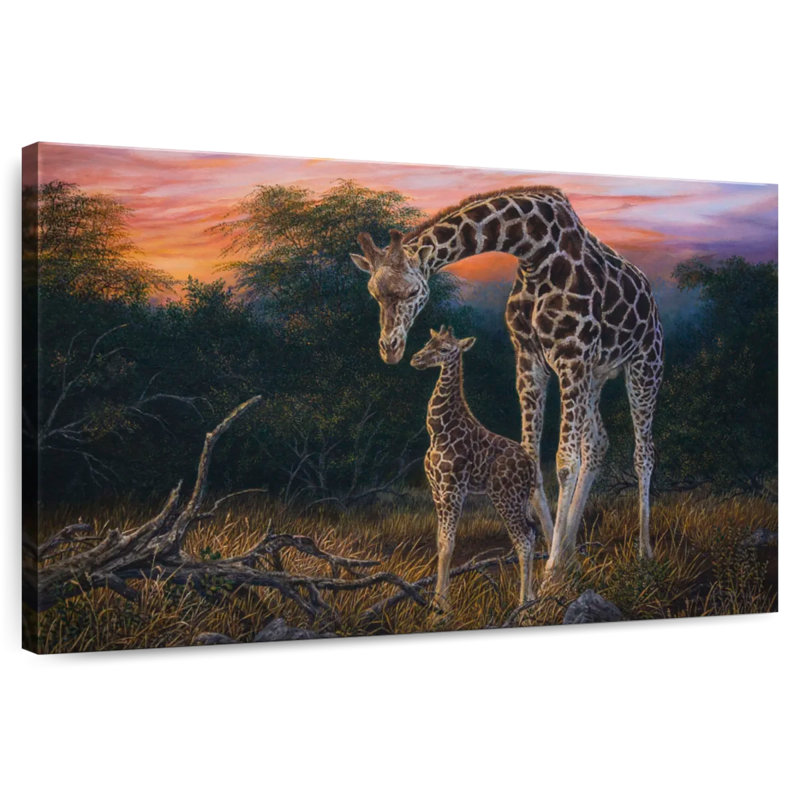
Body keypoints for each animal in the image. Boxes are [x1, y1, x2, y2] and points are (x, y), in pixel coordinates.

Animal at [351, 186, 664, 574]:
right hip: (595, 374)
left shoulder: (571, 355)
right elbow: (533, 454)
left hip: (645, 362)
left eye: (411, 292)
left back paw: (644, 550)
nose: (390, 348)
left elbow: (564, 462)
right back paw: (573, 548)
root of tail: (650, 295)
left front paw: (552, 570)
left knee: (643, 450)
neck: (534, 253)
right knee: (598, 442)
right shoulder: (530, 357)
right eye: (373, 293)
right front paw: (554, 550)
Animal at [410, 325, 537, 610]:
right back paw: (534, 597)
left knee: (523, 539)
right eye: (428, 342)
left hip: (505, 497)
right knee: (532, 534)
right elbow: (440, 541)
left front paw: (442, 605)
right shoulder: (436, 489)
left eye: (444, 349)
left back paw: (522, 605)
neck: (438, 431)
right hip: (520, 499)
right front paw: (437, 601)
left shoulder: (453, 488)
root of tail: (532, 466)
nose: (416, 359)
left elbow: (449, 543)